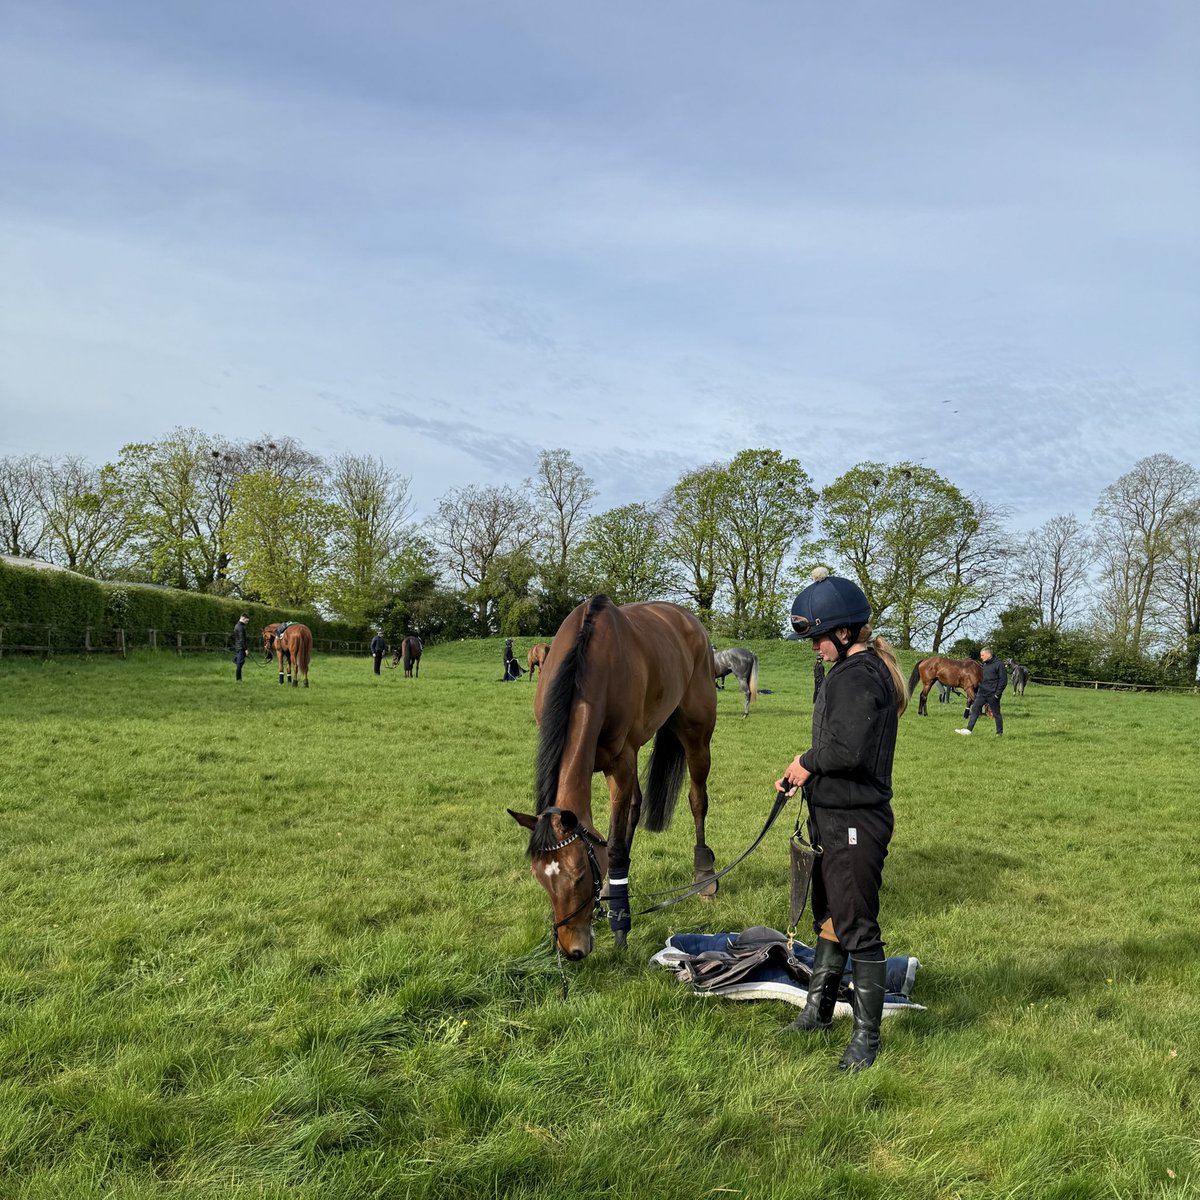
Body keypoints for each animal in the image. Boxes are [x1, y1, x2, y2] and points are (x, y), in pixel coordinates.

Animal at [508, 595, 715, 960]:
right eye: (539, 877)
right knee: (636, 806)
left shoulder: (620, 763)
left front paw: (620, 925)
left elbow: (616, 847)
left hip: (696, 734)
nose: (571, 950)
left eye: (579, 875)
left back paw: (704, 875)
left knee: (697, 799)